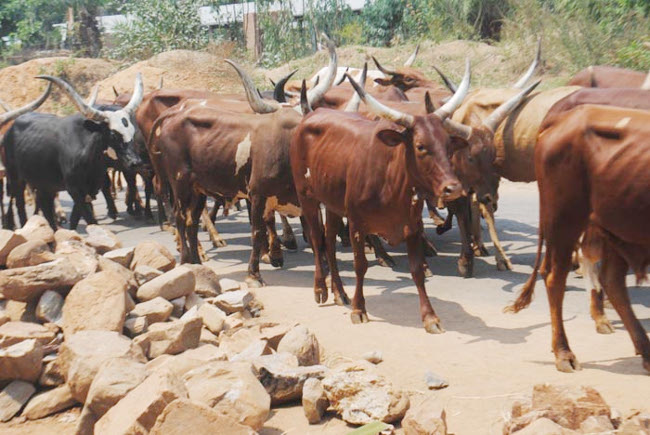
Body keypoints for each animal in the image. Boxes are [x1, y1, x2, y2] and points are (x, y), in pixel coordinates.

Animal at [2, 75, 144, 232]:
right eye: (113, 134)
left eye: (132, 132)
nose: (136, 162)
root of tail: (11, 128)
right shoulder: (75, 189)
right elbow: (89, 218)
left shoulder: (90, 189)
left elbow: (76, 218)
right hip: (16, 177)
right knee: (20, 205)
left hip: (45, 182)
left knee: (45, 206)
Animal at [506, 105, 648, 374]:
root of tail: (565, 117)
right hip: (564, 219)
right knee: (555, 278)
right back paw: (564, 353)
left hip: (615, 225)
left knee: (612, 281)